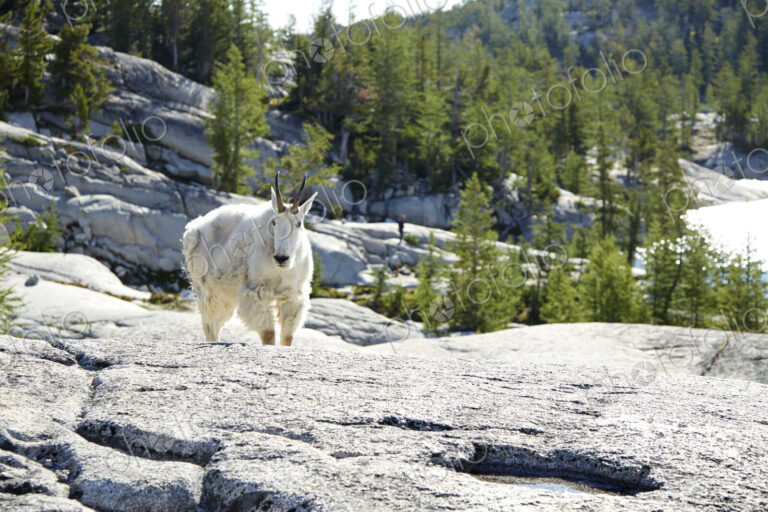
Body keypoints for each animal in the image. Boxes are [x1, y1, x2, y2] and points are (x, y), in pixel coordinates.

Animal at [182, 174, 318, 345]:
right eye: (274, 222)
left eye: (298, 223)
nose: (281, 258)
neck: (280, 270)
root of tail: (193, 228)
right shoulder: (255, 291)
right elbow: (268, 334)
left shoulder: (292, 295)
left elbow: (287, 336)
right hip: (206, 289)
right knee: (209, 324)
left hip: (225, 294)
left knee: (216, 323)